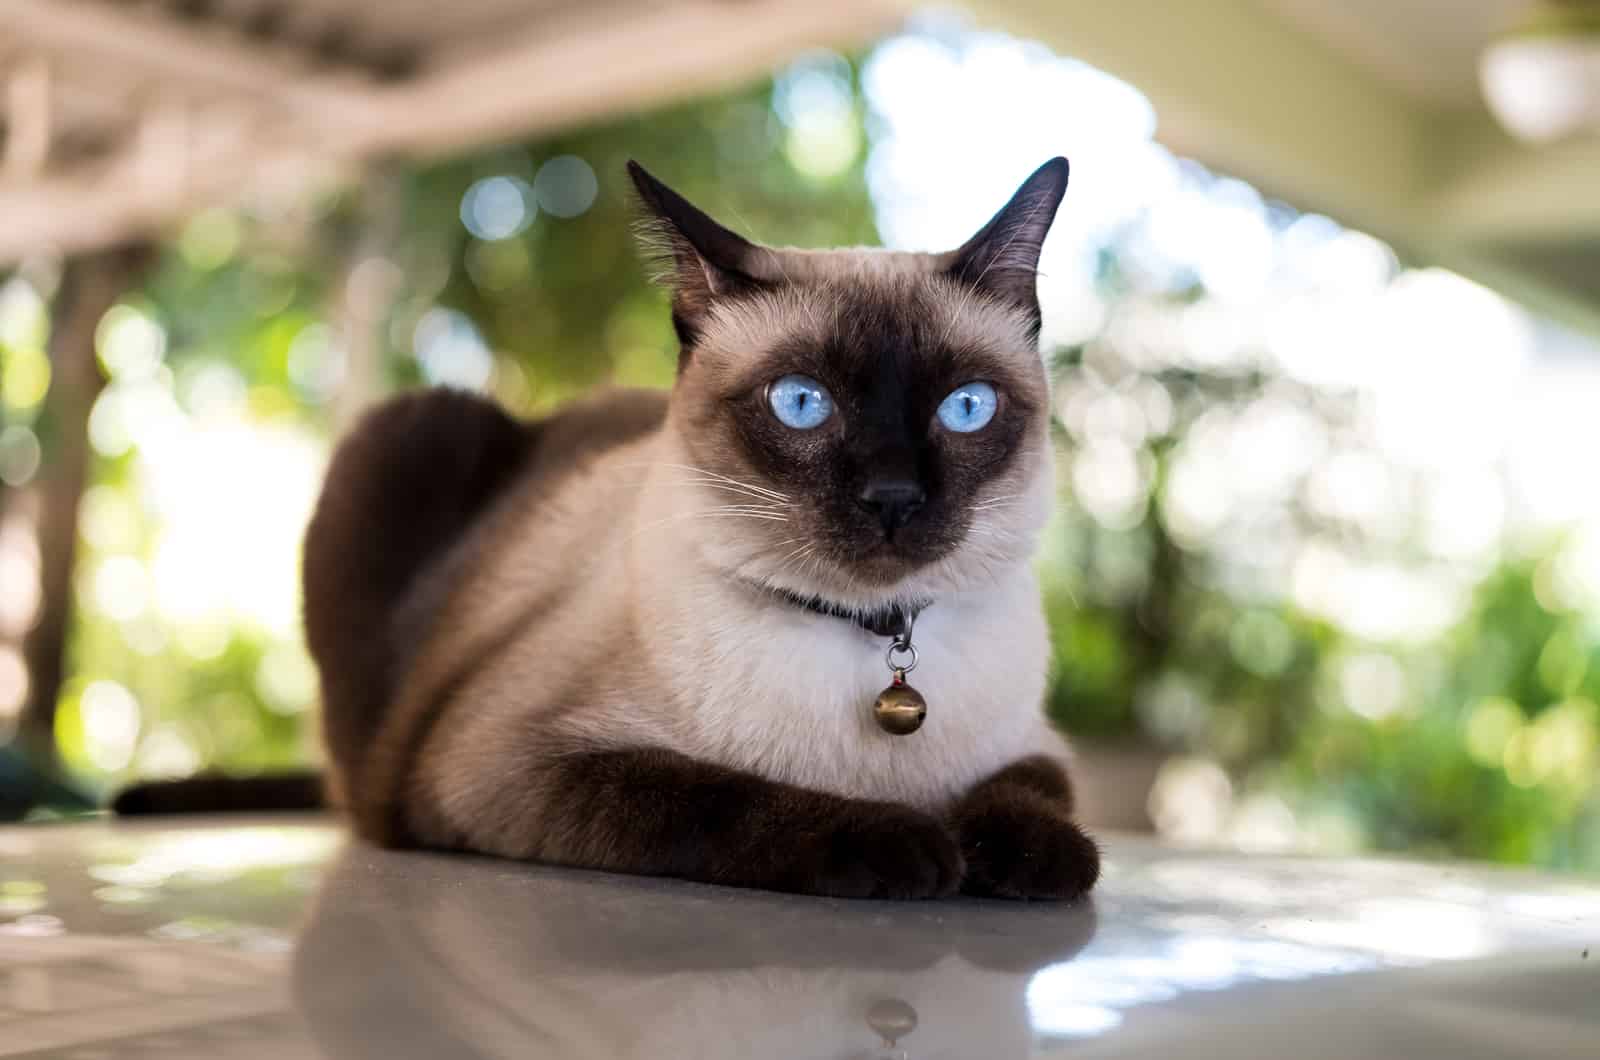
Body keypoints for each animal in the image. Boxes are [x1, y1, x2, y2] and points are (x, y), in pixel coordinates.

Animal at [131, 157, 1100, 903]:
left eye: (966, 407)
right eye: (801, 403)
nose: (892, 496)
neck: (874, 644)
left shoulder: (1037, 745)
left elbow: (1035, 797)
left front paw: (1019, 858)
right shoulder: (510, 765)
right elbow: (721, 796)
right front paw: (909, 846)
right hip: (406, 433)